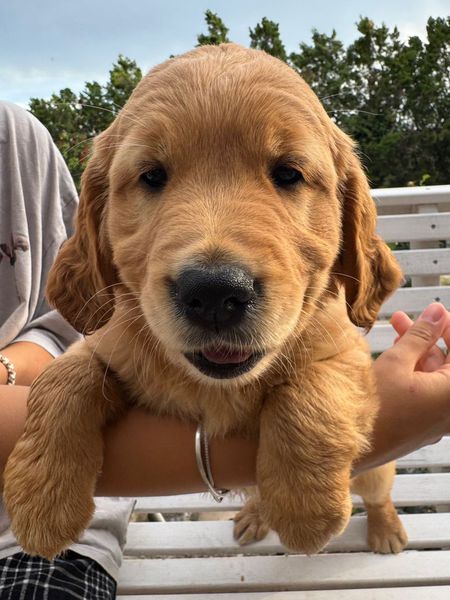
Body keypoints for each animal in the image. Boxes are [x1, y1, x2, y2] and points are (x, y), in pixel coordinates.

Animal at [4, 43, 407, 559]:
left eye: (288, 173)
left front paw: (303, 508)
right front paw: (41, 495)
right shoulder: (108, 340)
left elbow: (313, 387)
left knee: (378, 491)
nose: (214, 293)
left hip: (373, 470)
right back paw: (256, 514)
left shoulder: (348, 350)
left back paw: (383, 528)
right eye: (152, 175)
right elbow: (63, 376)